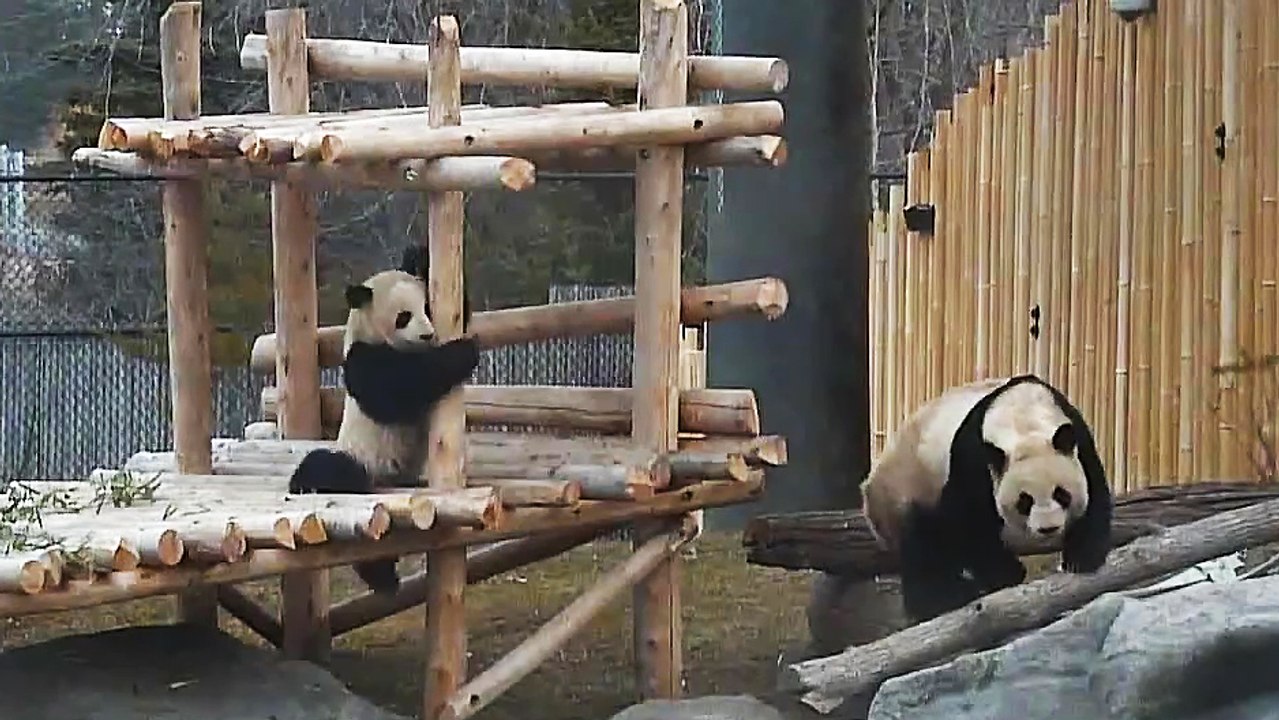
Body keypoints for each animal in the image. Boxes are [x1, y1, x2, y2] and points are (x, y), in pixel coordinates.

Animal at [288, 244, 480, 595]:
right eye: (404, 316)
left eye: (427, 308)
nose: (428, 334)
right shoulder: (362, 358)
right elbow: (395, 390)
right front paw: (463, 351)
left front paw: (419, 256)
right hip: (363, 460)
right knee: (331, 468)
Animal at [859, 373, 1112, 622]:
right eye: (1025, 501)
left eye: (1062, 494)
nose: (1048, 528)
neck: (1021, 417)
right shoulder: (972, 459)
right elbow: (968, 521)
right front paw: (1007, 572)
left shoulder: (1077, 435)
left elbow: (1095, 488)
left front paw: (1082, 556)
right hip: (909, 488)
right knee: (921, 542)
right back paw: (943, 597)